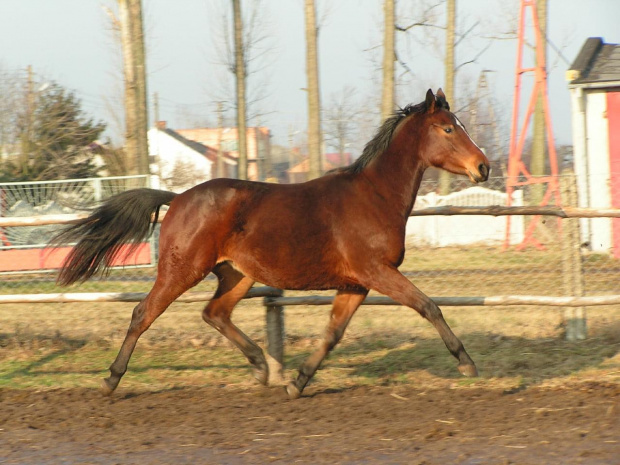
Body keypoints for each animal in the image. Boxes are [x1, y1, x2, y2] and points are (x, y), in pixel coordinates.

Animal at [52, 89, 490, 396]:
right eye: (449, 128)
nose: (483, 167)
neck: (374, 196)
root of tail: (176, 198)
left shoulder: (356, 283)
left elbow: (332, 334)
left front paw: (297, 382)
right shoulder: (376, 271)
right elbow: (428, 306)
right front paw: (467, 364)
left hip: (238, 275)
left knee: (214, 313)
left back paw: (262, 367)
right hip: (182, 270)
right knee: (143, 313)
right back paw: (111, 380)